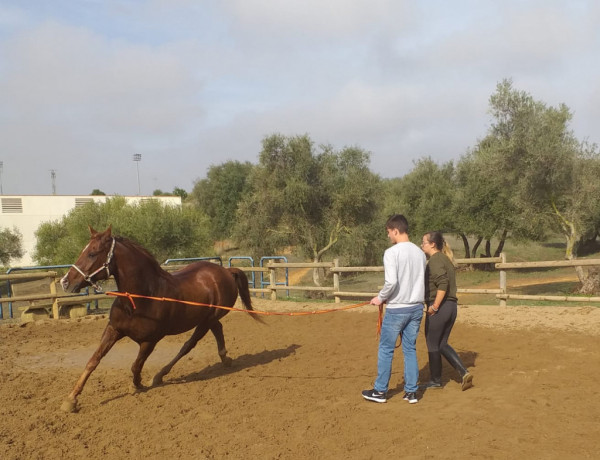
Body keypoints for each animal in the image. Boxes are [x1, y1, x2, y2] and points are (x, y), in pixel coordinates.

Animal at [59, 226, 262, 414]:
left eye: (92, 253)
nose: (65, 282)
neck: (141, 298)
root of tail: (226, 271)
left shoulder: (150, 341)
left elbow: (135, 366)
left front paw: (137, 385)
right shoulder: (113, 329)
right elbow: (94, 361)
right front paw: (71, 400)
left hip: (205, 321)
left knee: (188, 345)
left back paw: (159, 375)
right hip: (208, 319)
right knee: (217, 329)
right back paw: (225, 358)